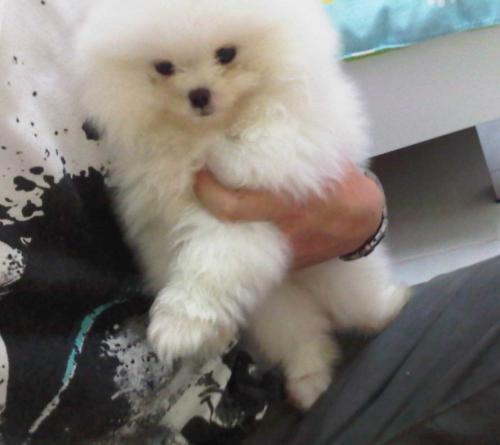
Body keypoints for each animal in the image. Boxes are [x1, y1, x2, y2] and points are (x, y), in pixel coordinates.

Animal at [76, 0, 408, 410]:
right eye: (164, 67)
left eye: (226, 54)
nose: (199, 94)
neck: (209, 136)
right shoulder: (161, 224)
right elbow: (179, 264)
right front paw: (209, 333)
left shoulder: (248, 204)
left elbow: (211, 261)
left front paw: (180, 324)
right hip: (278, 308)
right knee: (301, 335)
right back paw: (308, 379)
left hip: (344, 278)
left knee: (359, 304)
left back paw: (389, 306)